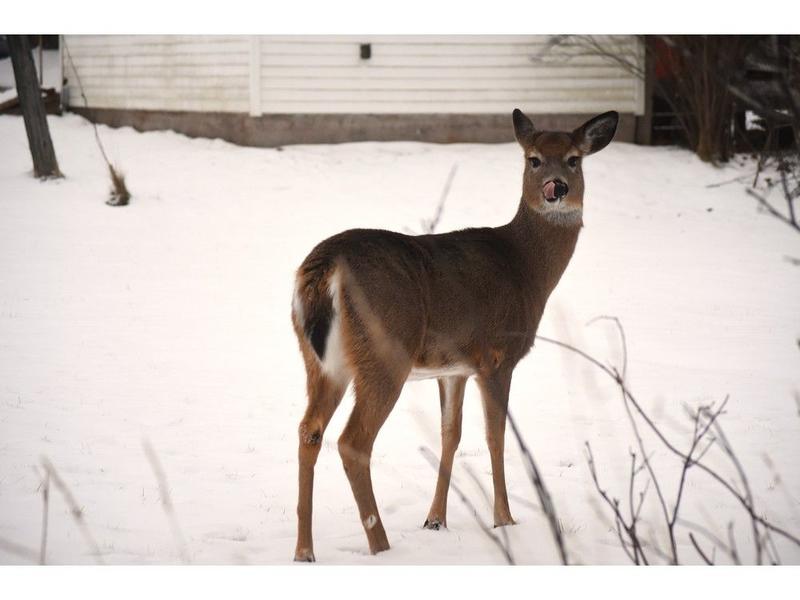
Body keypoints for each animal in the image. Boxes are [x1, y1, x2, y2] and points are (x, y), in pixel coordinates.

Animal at [290, 108, 619, 561]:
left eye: (574, 159)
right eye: (533, 159)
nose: (557, 188)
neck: (526, 267)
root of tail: (325, 267)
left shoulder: (454, 368)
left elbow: (451, 434)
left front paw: (435, 520)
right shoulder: (497, 356)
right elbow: (496, 436)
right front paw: (505, 519)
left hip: (320, 360)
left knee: (309, 430)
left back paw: (304, 551)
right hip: (385, 353)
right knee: (353, 441)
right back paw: (381, 545)